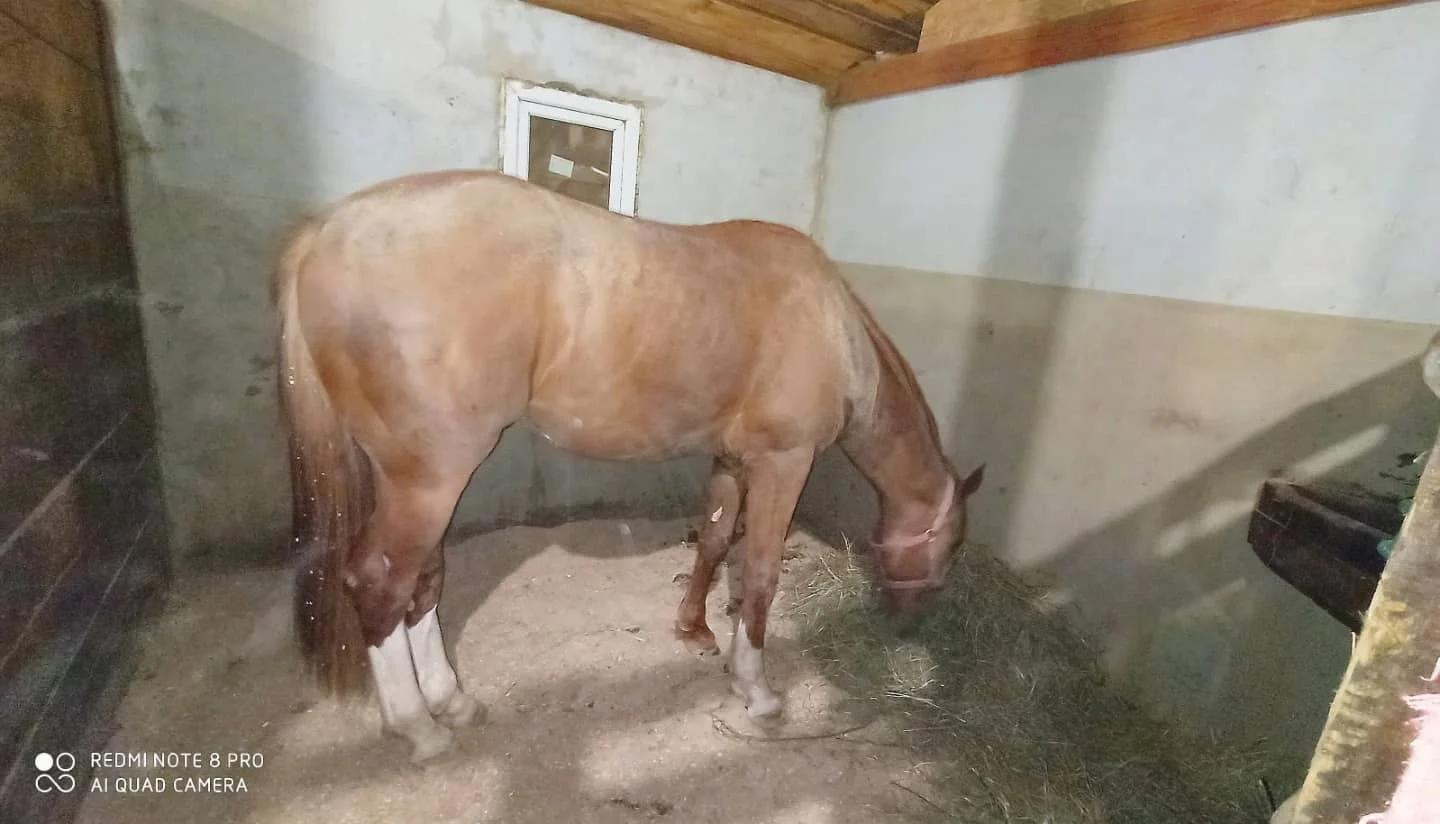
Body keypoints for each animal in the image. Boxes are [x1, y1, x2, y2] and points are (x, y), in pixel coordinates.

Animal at [273, 170, 984, 762]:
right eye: (950, 550)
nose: (907, 626)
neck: (832, 325)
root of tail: (330, 228)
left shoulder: (732, 459)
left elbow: (714, 539)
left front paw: (695, 629)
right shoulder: (784, 463)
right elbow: (759, 574)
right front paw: (756, 690)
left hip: (409, 481)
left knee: (424, 581)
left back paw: (452, 702)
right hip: (430, 482)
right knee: (380, 582)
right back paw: (419, 728)